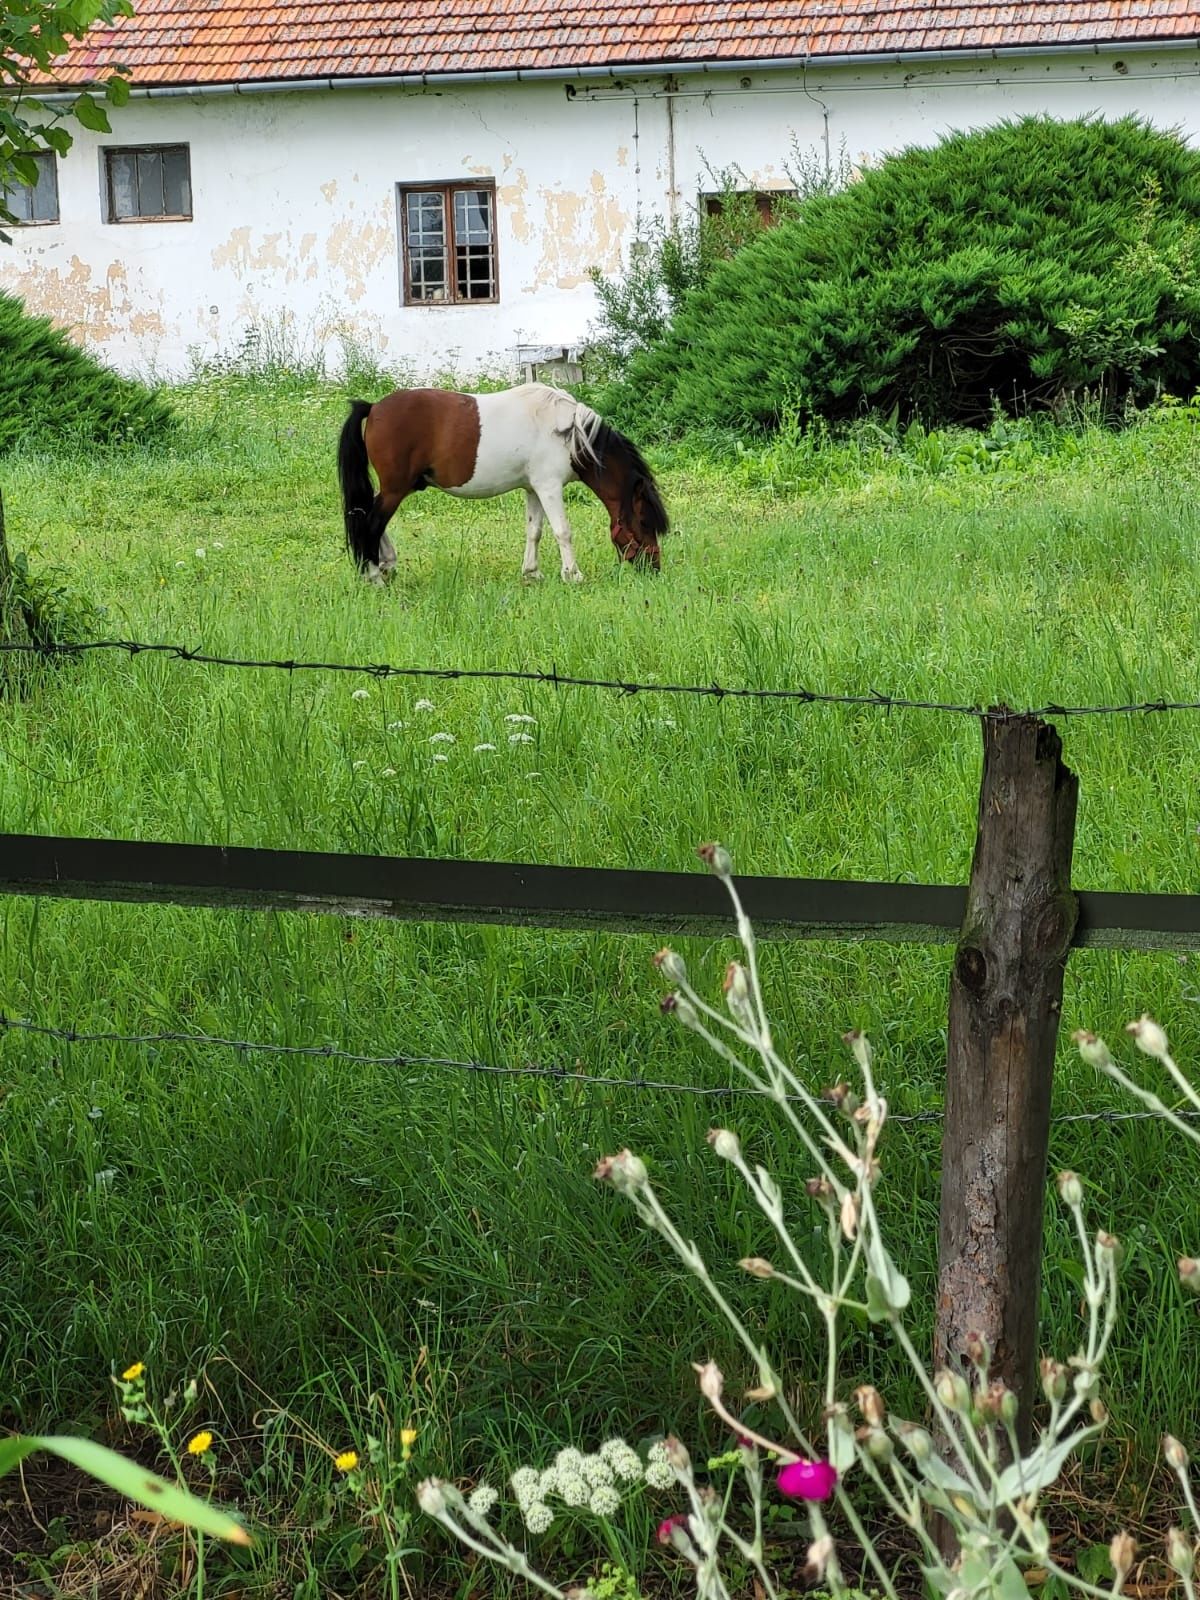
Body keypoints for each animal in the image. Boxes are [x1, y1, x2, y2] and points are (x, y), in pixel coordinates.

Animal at [339, 384, 672, 585]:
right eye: (644, 521)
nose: (655, 568)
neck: (567, 434)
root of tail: (374, 407)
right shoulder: (550, 487)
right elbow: (562, 531)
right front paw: (572, 574)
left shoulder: (534, 488)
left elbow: (534, 532)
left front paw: (532, 573)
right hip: (396, 489)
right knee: (371, 524)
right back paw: (375, 576)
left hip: (397, 488)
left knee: (371, 519)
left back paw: (386, 565)